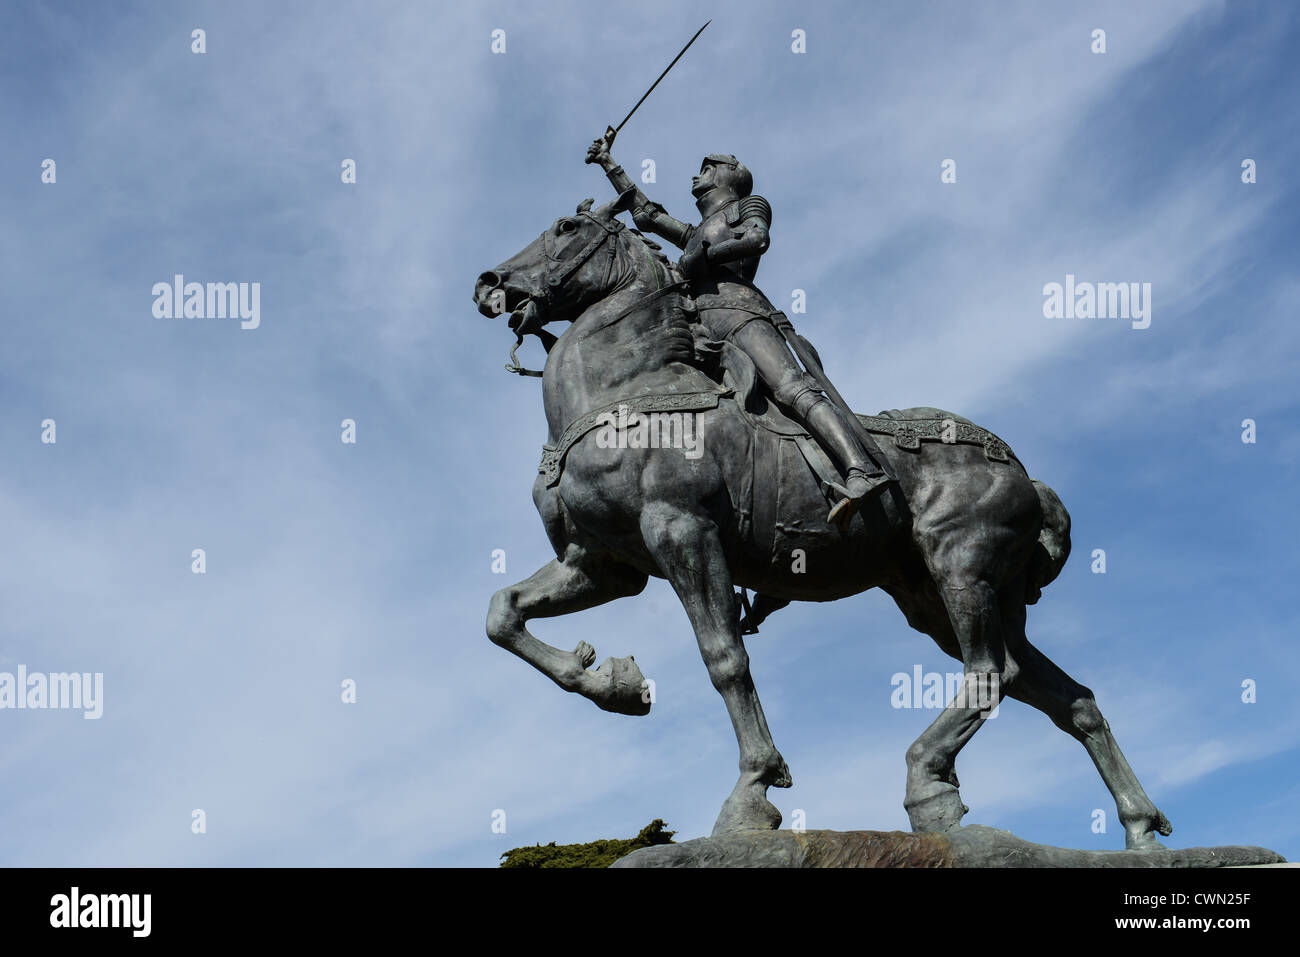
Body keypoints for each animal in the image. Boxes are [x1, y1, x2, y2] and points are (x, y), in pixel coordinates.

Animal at [473, 191, 1175, 847]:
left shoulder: (682, 533)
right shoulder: (603, 564)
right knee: (1065, 697)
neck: (628, 393)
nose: (489, 284)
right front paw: (616, 684)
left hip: (961, 570)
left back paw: (928, 786)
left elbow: (724, 658)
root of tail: (1025, 474)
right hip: (940, 600)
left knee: (991, 672)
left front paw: (754, 791)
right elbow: (503, 615)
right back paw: (1137, 826)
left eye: (565, 227)